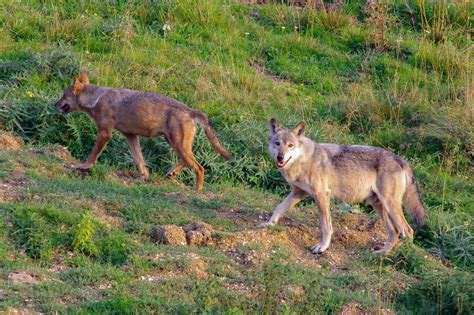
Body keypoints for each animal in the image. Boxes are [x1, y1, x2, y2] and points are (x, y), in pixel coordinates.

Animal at [53, 71, 231, 190]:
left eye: (63, 95)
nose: (54, 105)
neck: (96, 99)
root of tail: (190, 110)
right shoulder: (130, 136)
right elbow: (139, 160)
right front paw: (143, 178)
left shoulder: (105, 133)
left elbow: (92, 155)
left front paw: (82, 166)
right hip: (174, 143)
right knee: (189, 161)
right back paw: (171, 173)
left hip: (177, 145)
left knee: (199, 168)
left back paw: (197, 191)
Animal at [260, 118, 426, 254]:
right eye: (277, 143)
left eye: (290, 145)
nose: (280, 157)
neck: (304, 160)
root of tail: (400, 159)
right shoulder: (299, 192)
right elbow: (279, 208)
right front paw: (269, 224)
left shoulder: (321, 195)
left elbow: (326, 226)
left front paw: (322, 247)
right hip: (378, 204)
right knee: (394, 231)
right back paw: (383, 253)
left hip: (390, 204)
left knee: (408, 231)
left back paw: (403, 256)